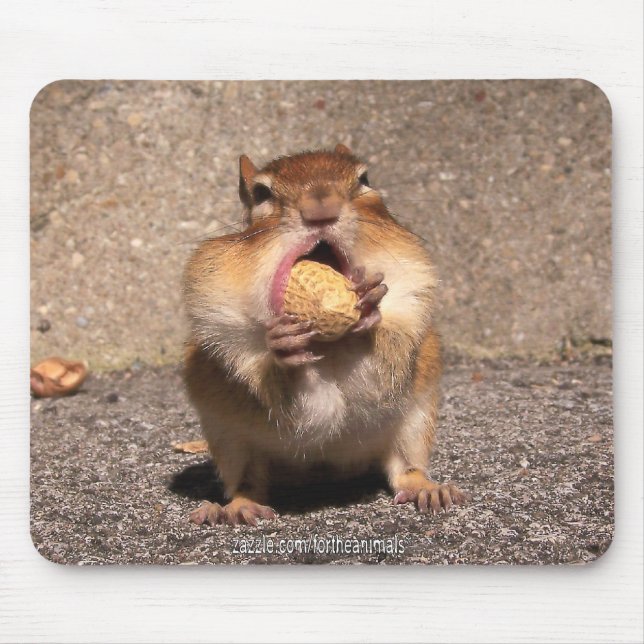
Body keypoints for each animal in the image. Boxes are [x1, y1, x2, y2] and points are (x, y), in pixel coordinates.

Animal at [183, 144, 466, 526]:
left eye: (364, 179)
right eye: (261, 193)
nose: (321, 207)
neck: (329, 348)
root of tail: (322, 473)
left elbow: (379, 375)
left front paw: (368, 312)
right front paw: (285, 356)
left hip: (416, 421)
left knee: (405, 470)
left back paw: (428, 488)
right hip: (229, 440)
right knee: (247, 483)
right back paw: (236, 507)